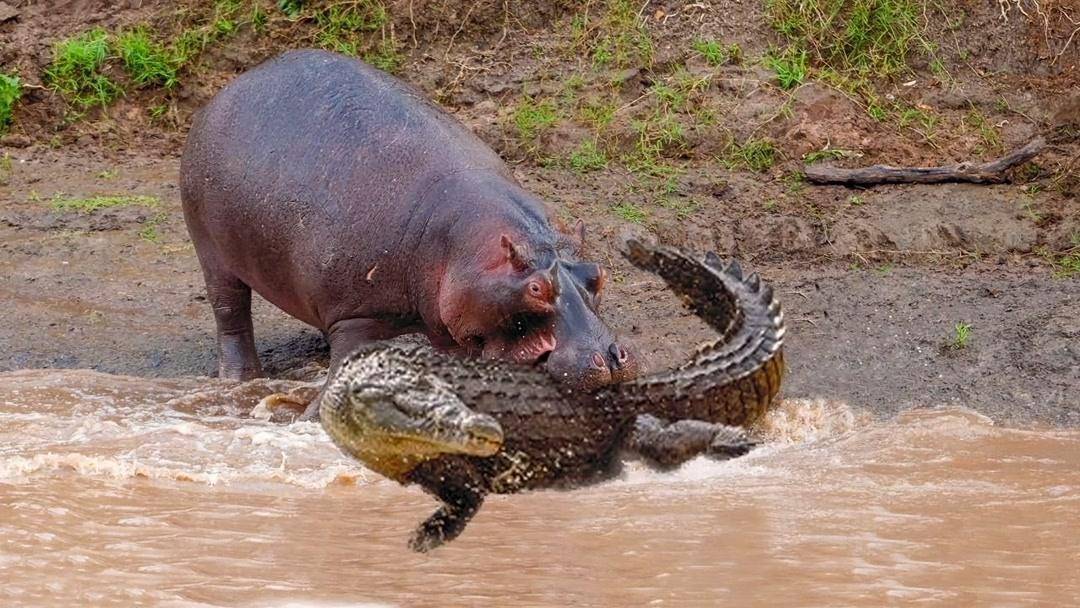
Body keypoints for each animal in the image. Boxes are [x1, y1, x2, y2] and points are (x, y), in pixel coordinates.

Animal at [180, 48, 635, 414]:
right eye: (536, 289)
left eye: (599, 275)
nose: (609, 358)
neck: (462, 245)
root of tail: (234, 85)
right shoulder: (357, 316)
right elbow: (343, 366)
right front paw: (309, 416)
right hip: (212, 253)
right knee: (230, 314)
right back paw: (240, 379)